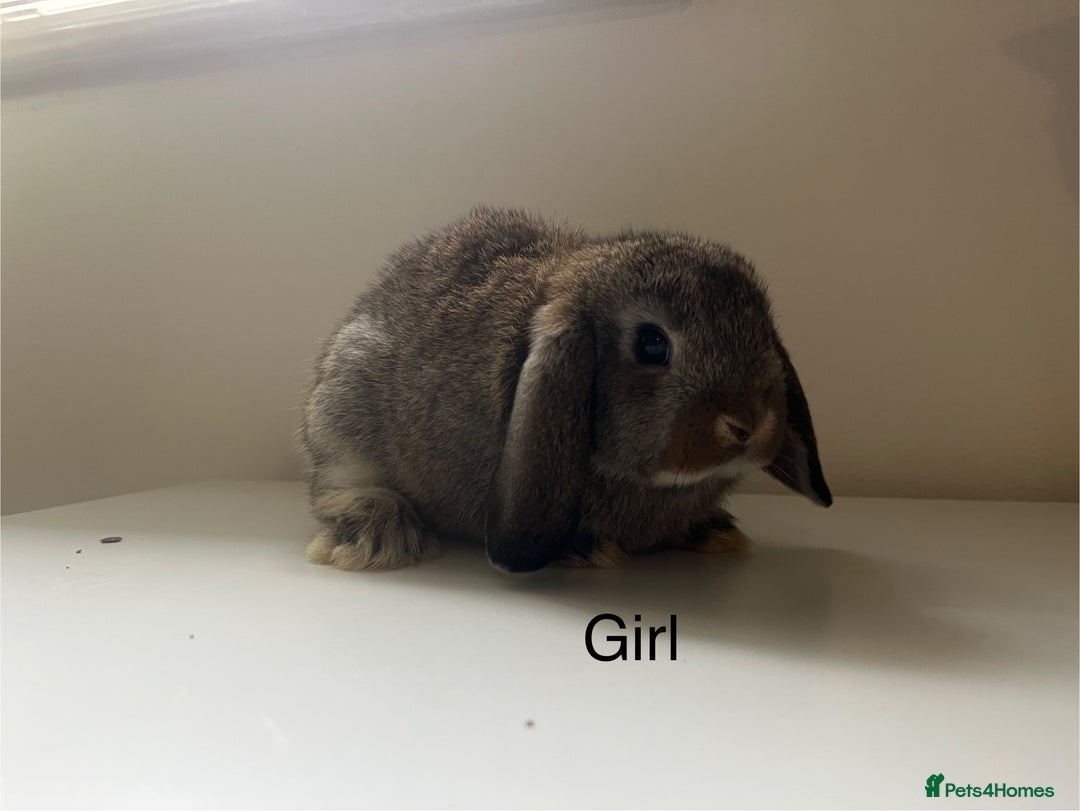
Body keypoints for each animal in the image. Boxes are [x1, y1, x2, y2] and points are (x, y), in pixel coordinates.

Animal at [299, 206, 831, 573]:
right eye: (652, 344)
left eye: (763, 332)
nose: (749, 423)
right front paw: (587, 550)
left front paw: (710, 530)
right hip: (346, 407)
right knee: (337, 483)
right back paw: (380, 539)